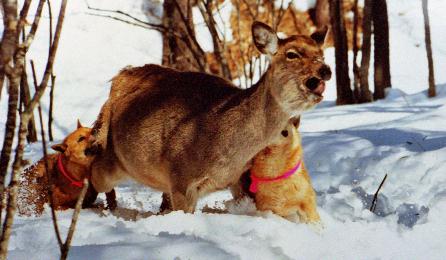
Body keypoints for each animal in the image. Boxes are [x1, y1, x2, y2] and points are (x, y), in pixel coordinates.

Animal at [89, 21, 332, 213]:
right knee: (94, 174)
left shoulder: (241, 179)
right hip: (110, 154)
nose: (325, 70)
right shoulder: (181, 177)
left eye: (321, 55)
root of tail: (118, 78)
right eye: (292, 54)